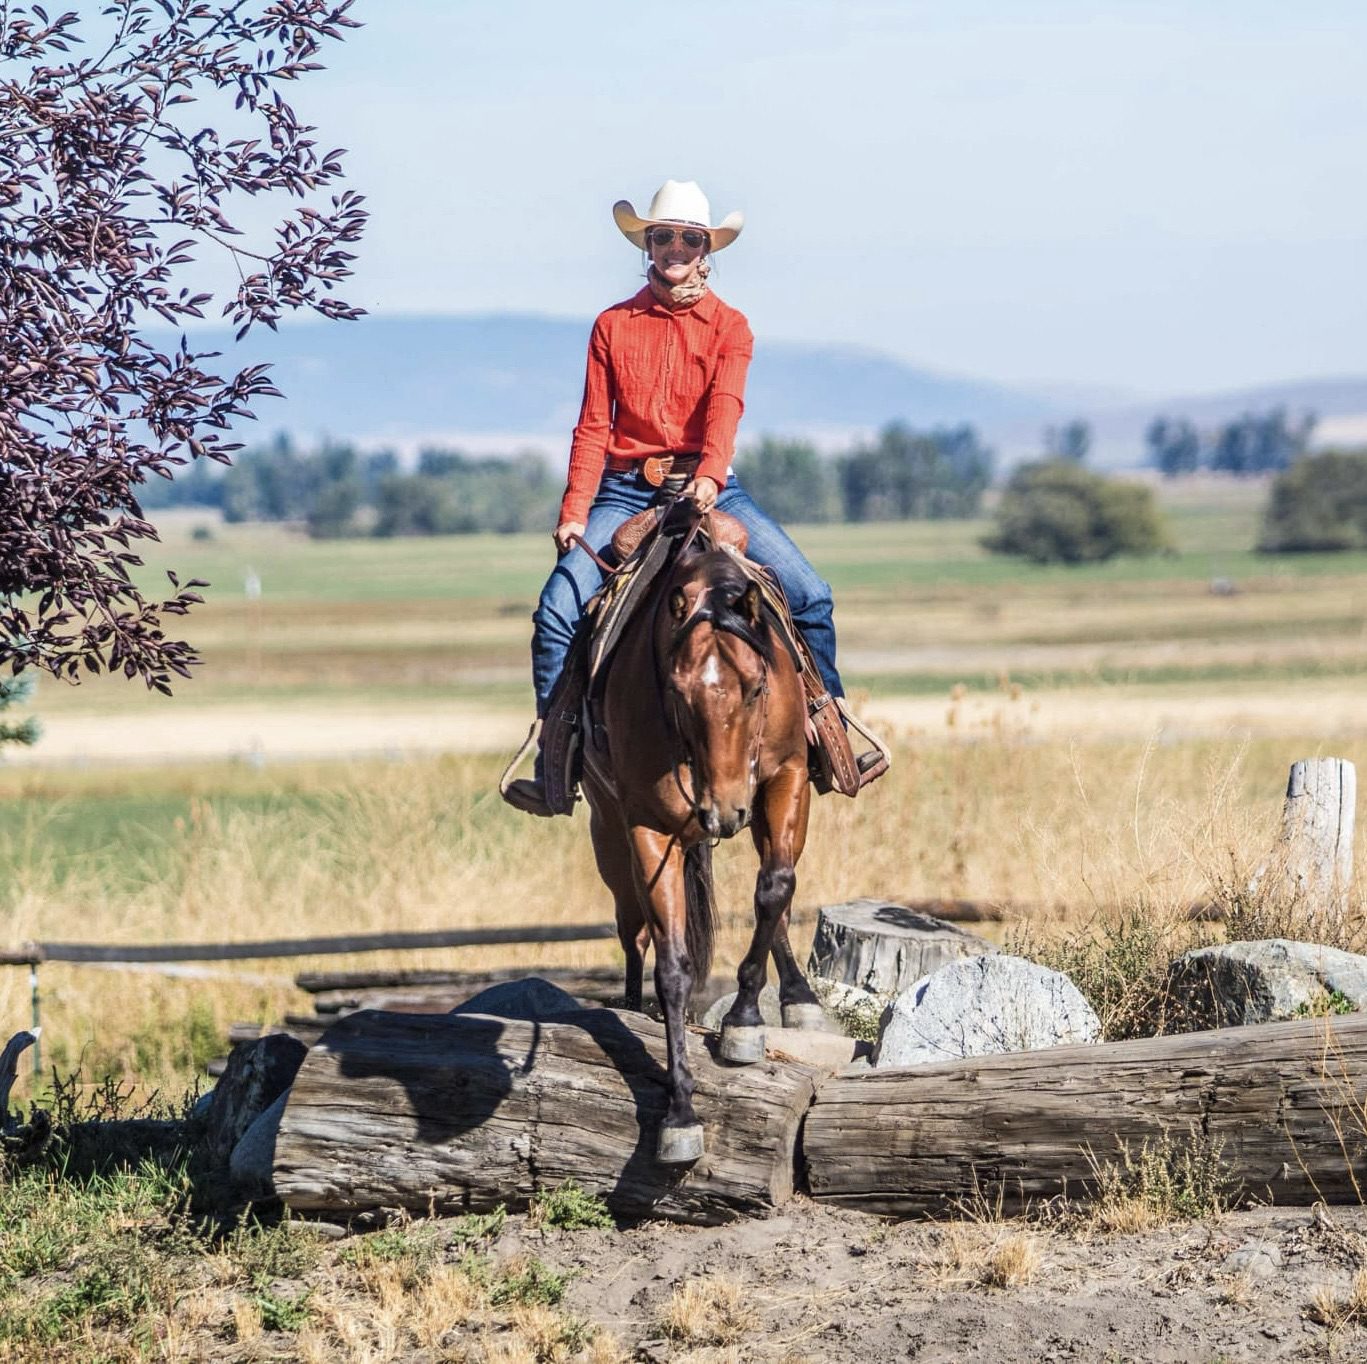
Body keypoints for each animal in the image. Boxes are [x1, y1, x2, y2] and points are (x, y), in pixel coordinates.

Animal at [580, 522, 825, 1164]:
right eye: (677, 691)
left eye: (758, 686)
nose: (724, 807)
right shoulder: (648, 826)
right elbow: (672, 965)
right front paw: (681, 1112)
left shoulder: (786, 777)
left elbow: (775, 890)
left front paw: (743, 1021)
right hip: (610, 839)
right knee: (634, 933)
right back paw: (631, 1004)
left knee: (775, 896)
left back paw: (798, 999)